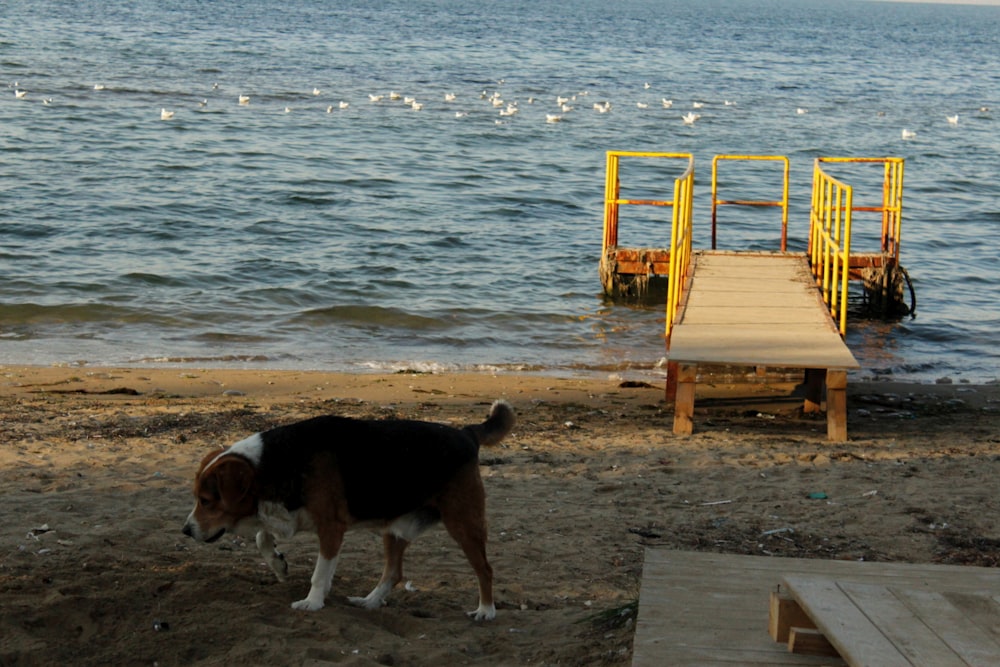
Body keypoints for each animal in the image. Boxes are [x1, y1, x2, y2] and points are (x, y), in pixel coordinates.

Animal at [181, 396, 520, 620]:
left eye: (206, 501)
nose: (185, 530)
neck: (276, 462)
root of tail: (466, 432)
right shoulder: (287, 514)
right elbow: (262, 537)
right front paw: (278, 564)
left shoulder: (331, 528)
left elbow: (319, 573)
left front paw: (312, 602)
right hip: (396, 527)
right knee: (393, 572)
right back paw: (369, 602)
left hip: (463, 523)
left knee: (485, 569)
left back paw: (486, 610)